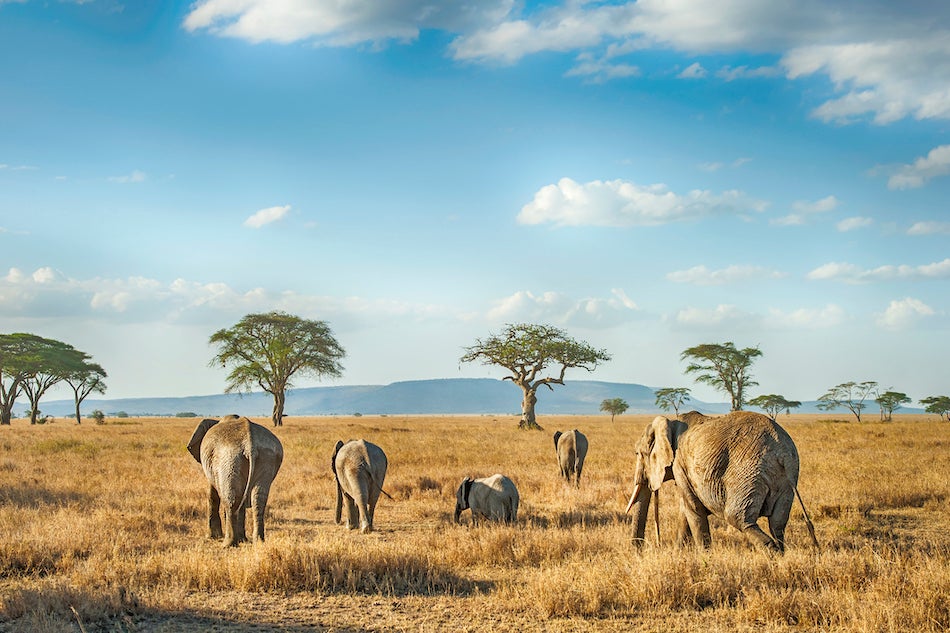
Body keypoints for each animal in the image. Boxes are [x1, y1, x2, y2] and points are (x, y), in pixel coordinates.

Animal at [187, 415, 283, 547]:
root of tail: (250, 445)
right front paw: (243, 540)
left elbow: (213, 494)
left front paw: (212, 537)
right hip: (266, 456)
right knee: (258, 499)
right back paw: (258, 542)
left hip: (229, 458)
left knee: (231, 499)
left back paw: (228, 544)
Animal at [625, 411, 818, 553]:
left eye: (638, 454)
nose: (639, 551)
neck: (670, 422)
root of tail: (783, 452)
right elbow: (686, 510)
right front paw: (679, 554)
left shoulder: (680, 464)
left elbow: (693, 509)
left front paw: (705, 557)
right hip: (786, 480)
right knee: (777, 523)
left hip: (748, 471)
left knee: (738, 518)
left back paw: (772, 555)